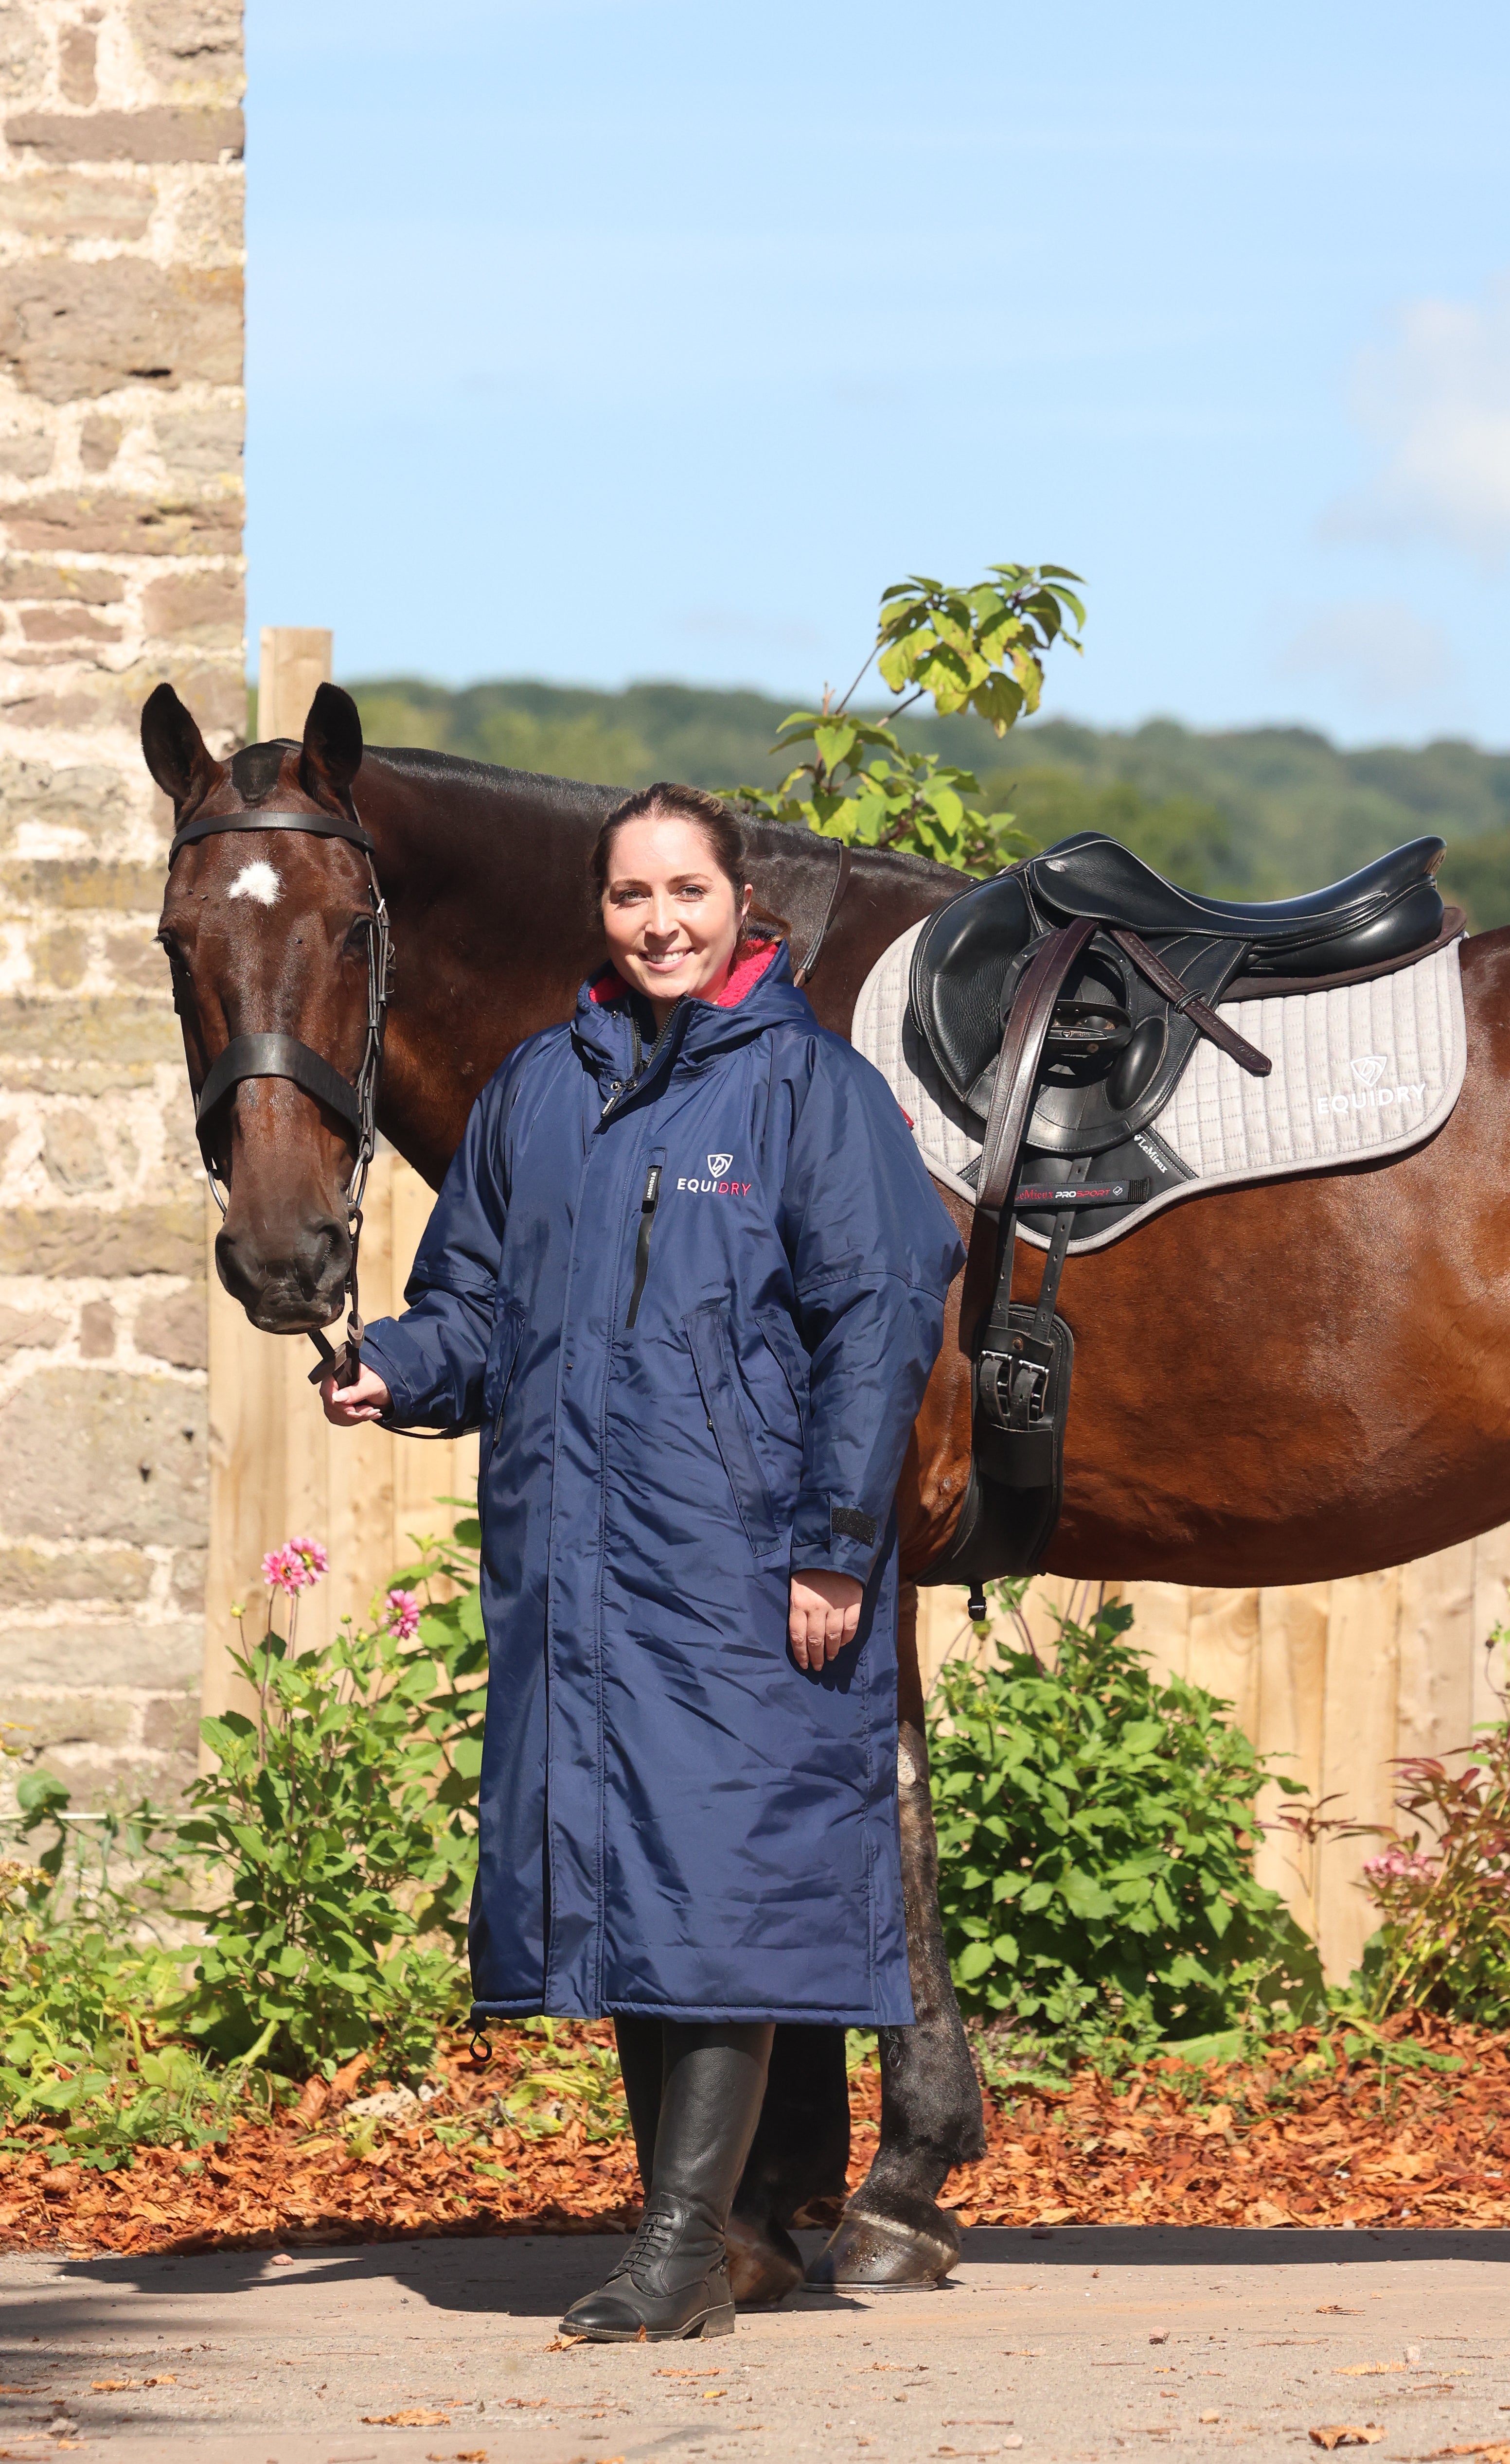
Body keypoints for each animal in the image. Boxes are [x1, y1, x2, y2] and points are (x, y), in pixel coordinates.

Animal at [144, 678, 1510, 2294]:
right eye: (176, 940)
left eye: (357, 928)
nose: (281, 1250)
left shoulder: (849, 1543)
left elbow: (861, 1825)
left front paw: (850, 2189)